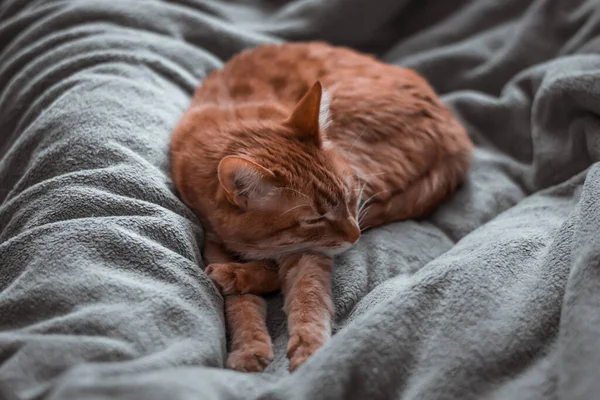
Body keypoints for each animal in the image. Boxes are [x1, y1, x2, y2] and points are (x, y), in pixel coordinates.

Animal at [169, 42, 474, 374]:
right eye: (314, 219)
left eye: (351, 197)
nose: (354, 235)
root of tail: (458, 137)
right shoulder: (215, 242)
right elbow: (241, 306)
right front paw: (248, 347)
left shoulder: (310, 252)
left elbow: (308, 296)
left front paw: (309, 346)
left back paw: (234, 274)